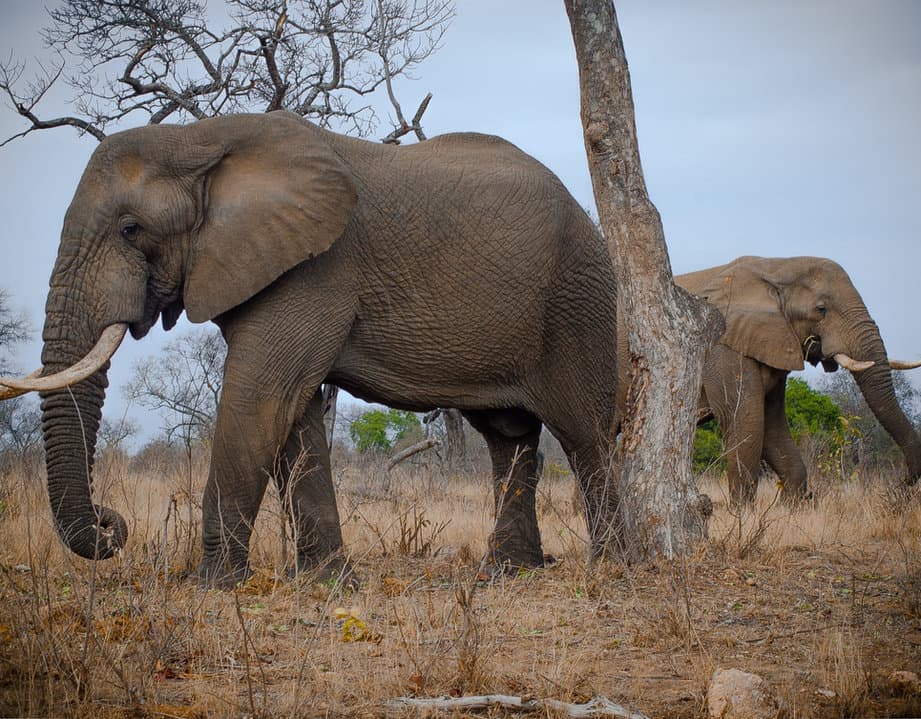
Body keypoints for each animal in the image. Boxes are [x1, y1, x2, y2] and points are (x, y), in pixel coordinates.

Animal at [0, 111, 621, 585]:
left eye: (131, 229)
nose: (111, 524)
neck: (199, 138)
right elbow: (291, 412)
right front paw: (325, 581)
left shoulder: (315, 269)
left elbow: (260, 393)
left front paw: (212, 587)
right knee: (508, 437)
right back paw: (509, 572)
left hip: (579, 300)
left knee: (585, 435)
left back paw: (614, 565)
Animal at [668, 256, 920, 506]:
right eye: (821, 309)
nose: (902, 484)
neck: (777, 266)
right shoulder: (723, 347)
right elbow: (745, 420)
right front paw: (741, 511)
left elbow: (771, 426)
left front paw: (788, 506)